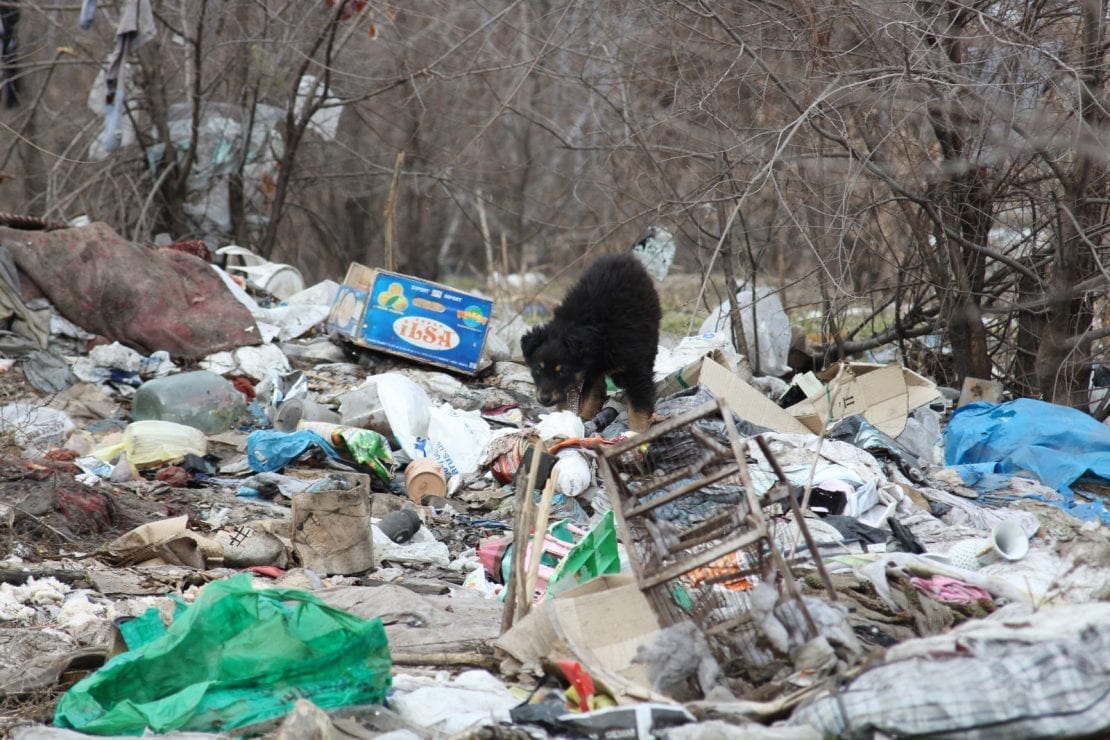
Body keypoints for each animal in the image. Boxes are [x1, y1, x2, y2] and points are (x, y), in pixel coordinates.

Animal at [519, 252, 657, 430]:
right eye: (537, 369)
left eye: (563, 371)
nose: (544, 399)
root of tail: (622, 257)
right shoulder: (589, 370)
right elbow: (590, 393)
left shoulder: (634, 367)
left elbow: (639, 403)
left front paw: (638, 431)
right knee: (597, 389)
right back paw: (586, 416)